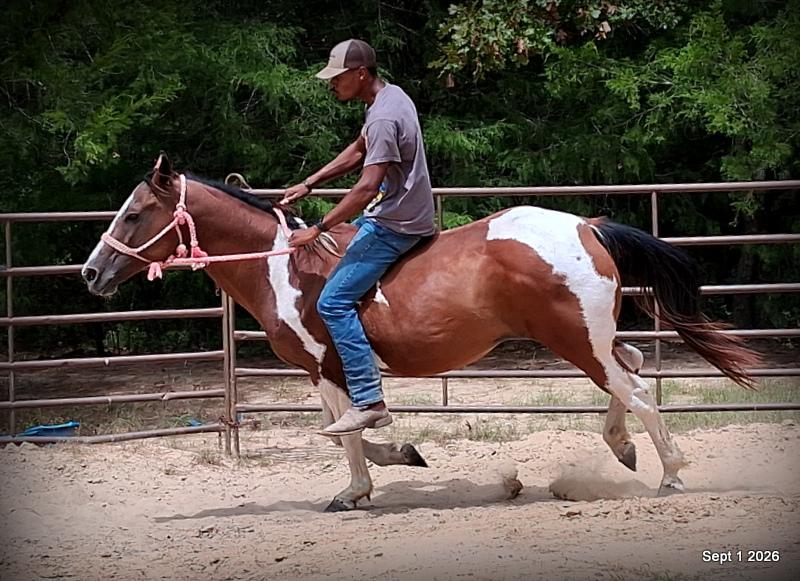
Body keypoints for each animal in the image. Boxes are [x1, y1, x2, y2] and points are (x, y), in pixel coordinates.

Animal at [82, 154, 760, 511]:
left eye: (135, 213)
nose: (92, 271)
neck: (282, 265)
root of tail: (585, 226)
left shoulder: (326, 362)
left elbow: (350, 430)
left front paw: (359, 486)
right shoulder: (324, 369)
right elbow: (349, 431)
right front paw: (395, 460)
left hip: (576, 342)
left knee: (638, 389)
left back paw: (670, 474)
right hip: (590, 340)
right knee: (635, 366)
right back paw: (622, 448)